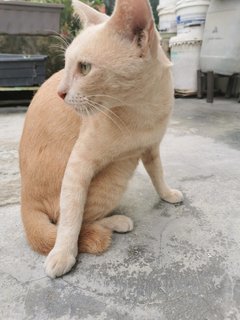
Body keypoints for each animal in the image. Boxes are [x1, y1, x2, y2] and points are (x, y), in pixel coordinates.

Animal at [19, 0, 184, 278]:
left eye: (84, 68)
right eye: (65, 65)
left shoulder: (151, 148)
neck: (143, 109)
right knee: (75, 219)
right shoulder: (79, 164)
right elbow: (72, 216)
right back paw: (116, 222)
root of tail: (25, 197)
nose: (60, 93)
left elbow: (158, 175)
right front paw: (63, 253)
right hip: (117, 176)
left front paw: (167, 194)